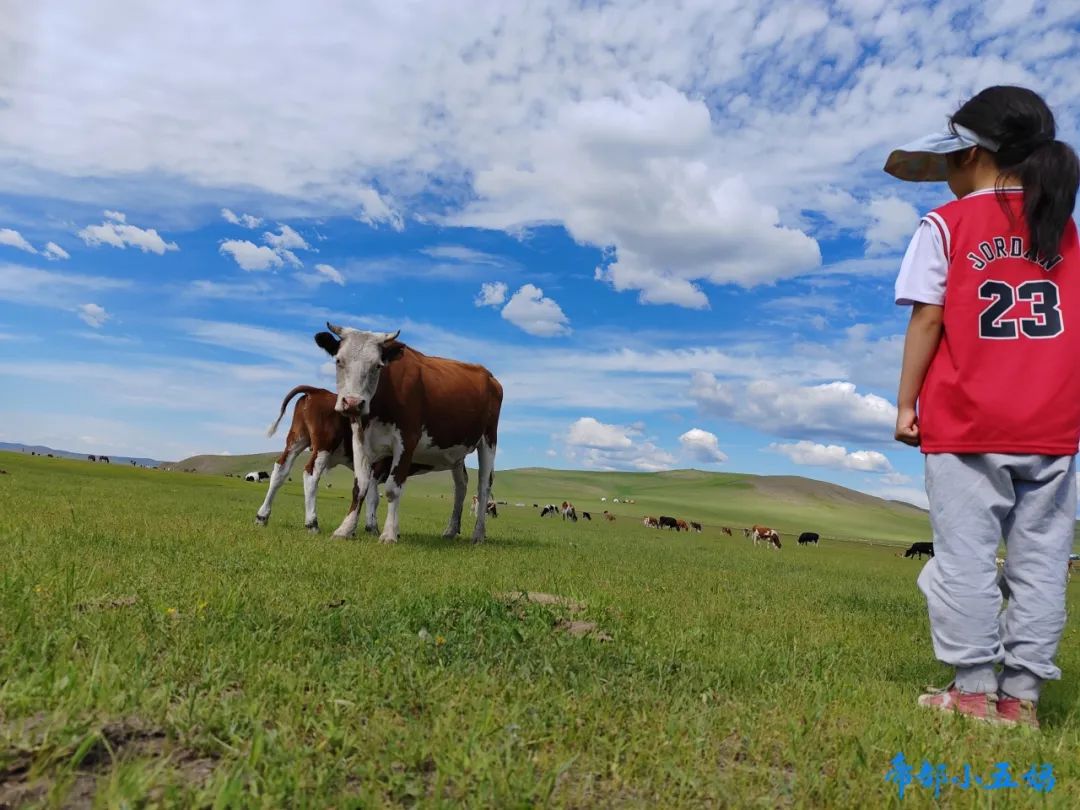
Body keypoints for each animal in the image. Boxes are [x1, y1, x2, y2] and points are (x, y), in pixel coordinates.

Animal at [311, 326, 498, 546]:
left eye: (377, 365)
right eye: (339, 360)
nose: (352, 403)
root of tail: (490, 376)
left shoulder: (407, 441)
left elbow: (392, 489)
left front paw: (389, 534)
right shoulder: (360, 439)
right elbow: (360, 486)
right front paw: (345, 529)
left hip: (488, 441)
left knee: (483, 487)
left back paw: (479, 534)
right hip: (456, 453)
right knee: (460, 486)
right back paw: (451, 530)